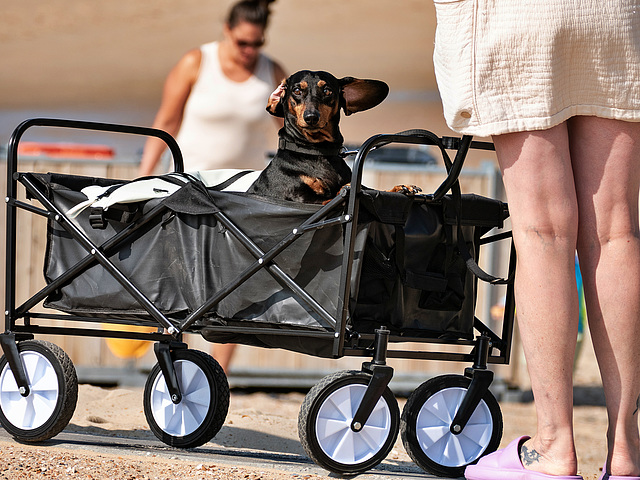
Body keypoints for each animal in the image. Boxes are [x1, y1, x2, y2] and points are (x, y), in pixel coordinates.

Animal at [248, 69, 392, 202]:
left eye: (327, 91)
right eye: (297, 90)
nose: (311, 117)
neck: (316, 151)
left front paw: (393, 189)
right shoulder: (302, 198)